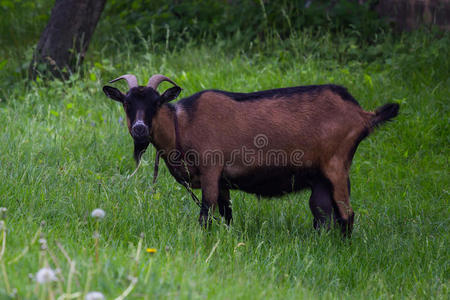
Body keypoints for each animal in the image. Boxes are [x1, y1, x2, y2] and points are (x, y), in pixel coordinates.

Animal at [103, 74, 400, 236]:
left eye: (156, 103)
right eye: (127, 103)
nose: (140, 129)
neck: (182, 124)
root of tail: (362, 114)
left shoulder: (211, 170)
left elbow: (205, 214)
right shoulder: (222, 181)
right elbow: (226, 215)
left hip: (337, 166)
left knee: (347, 215)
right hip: (320, 178)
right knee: (323, 214)